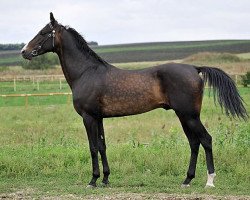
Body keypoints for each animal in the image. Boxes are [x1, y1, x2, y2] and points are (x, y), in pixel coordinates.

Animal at [21, 12, 248, 188]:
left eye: (43, 32)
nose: (24, 51)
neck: (86, 72)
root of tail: (195, 68)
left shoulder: (88, 117)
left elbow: (92, 147)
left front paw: (93, 181)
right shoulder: (99, 118)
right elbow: (102, 146)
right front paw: (105, 179)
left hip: (189, 116)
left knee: (206, 140)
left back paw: (209, 181)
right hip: (185, 117)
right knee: (194, 143)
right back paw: (187, 180)